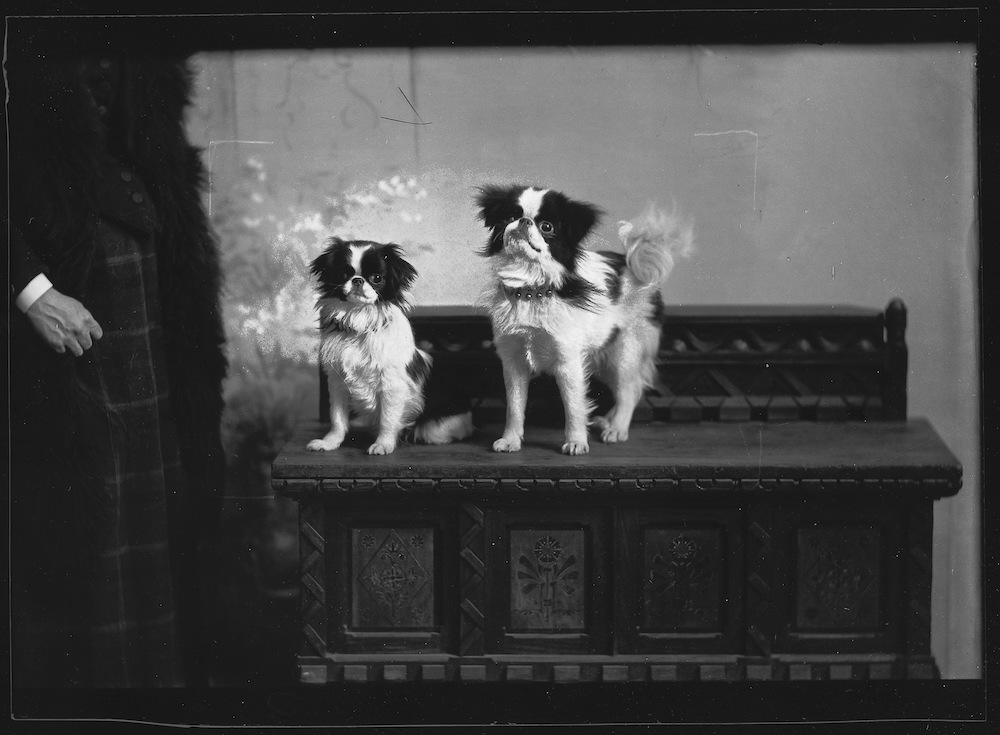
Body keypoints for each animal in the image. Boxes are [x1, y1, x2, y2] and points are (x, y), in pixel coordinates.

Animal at [306, 236, 474, 454]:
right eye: (343, 274)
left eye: (377, 278)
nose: (357, 280)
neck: (359, 319)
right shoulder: (337, 382)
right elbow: (337, 418)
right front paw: (329, 443)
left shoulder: (391, 385)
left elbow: (388, 419)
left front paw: (383, 444)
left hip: (435, 428)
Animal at [474, 185, 692, 454]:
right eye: (509, 217)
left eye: (547, 226)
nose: (523, 221)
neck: (530, 289)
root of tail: (633, 267)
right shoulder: (513, 361)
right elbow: (514, 406)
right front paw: (511, 440)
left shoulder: (568, 362)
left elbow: (573, 406)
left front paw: (576, 442)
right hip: (602, 359)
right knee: (626, 390)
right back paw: (608, 421)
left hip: (624, 353)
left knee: (628, 391)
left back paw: (617, 429)